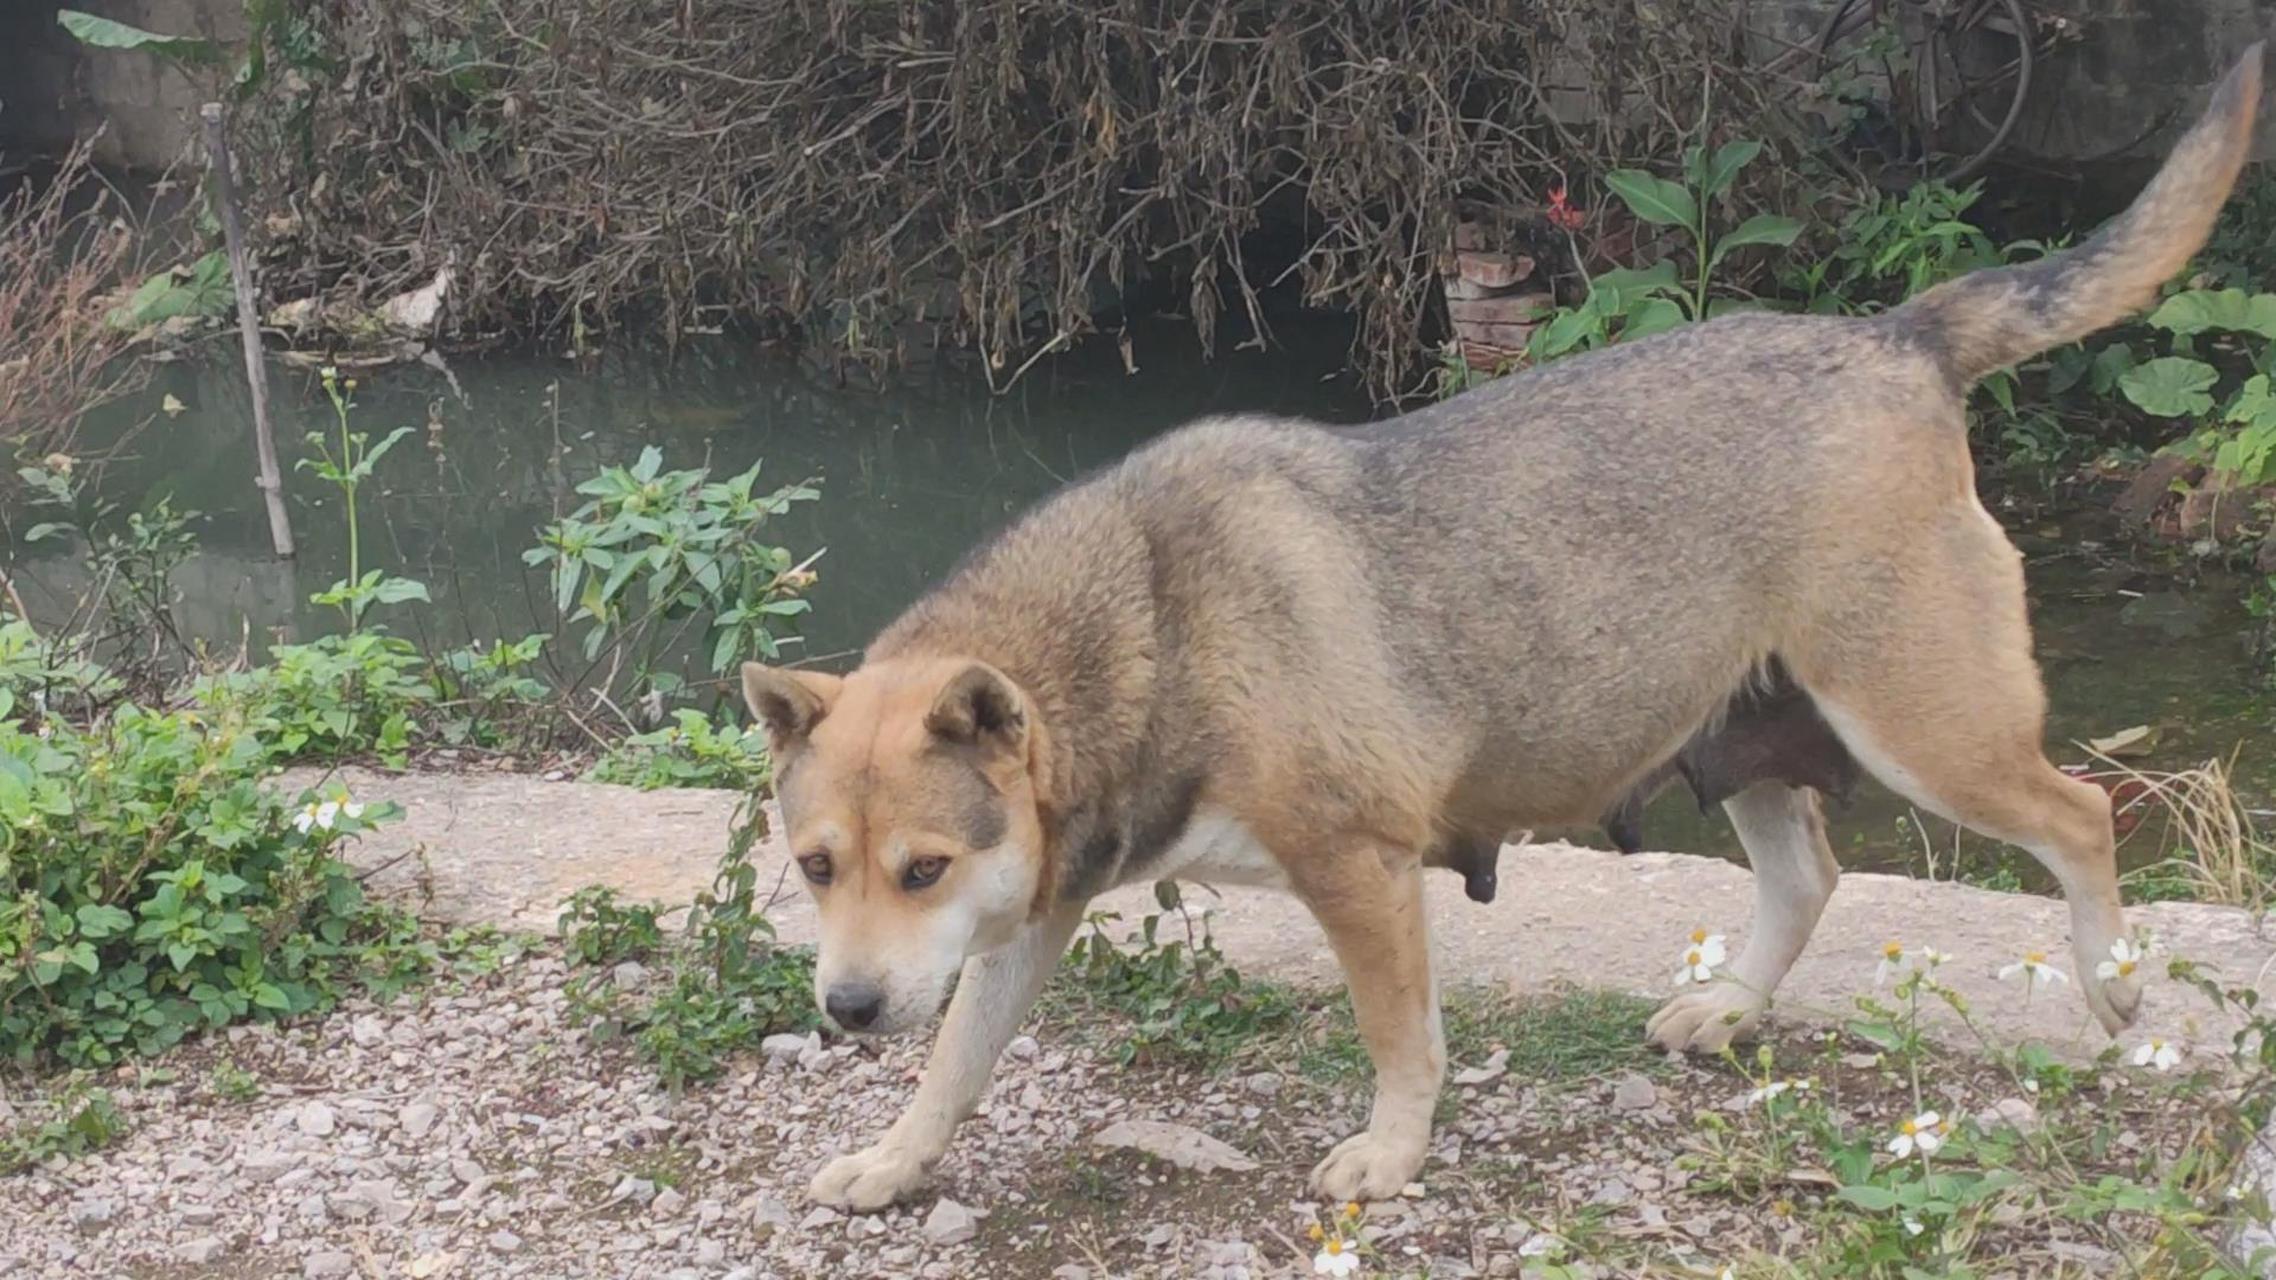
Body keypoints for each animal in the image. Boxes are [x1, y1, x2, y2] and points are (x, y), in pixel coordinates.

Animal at [741, 47, 2257, 1202]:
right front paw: (892, 1160)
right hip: (1746, 732)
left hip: (1925, 724)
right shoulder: (1030, 917)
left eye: (922, 868)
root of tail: (1895, 336)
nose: (844, 1009)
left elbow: (1399, 1040)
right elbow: (957, 1064)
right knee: (1810, 875)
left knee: (2079, 816)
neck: (1154, 624)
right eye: (815, 867)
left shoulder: (1357, 870)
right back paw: (1736, 1006)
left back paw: (2113, 989)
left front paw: (1392, 1154)